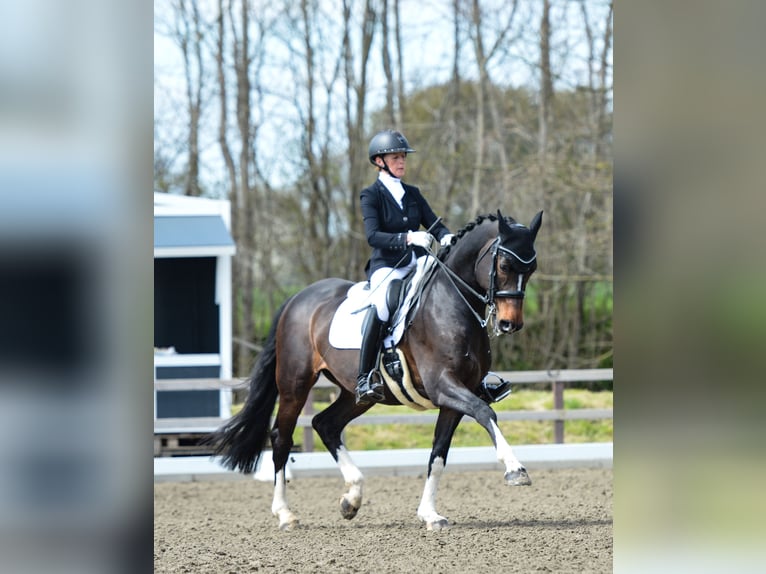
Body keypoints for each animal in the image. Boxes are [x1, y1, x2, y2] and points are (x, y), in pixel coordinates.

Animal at [207, 210, 544, 532]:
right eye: (503, 264)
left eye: (532, 269)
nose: (510, 324)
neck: (450, 304)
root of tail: (297, 298)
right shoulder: (444, 386)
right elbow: (485, 412)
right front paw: (515, 470)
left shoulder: (455, 398)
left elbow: (438, 454)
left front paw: (430, 514)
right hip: (295, 383)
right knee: (281, 437)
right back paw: (285, 514)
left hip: (357, 395)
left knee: (325, 424)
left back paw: (352, 498)